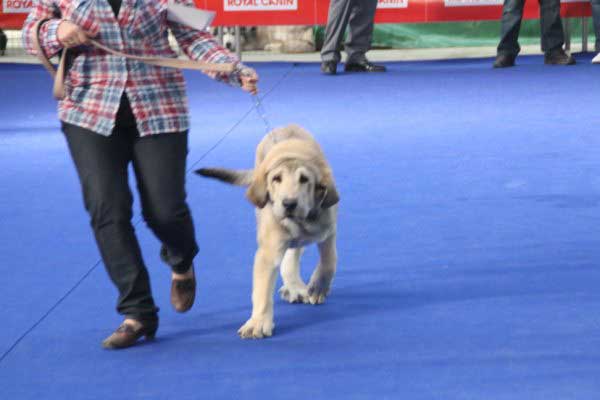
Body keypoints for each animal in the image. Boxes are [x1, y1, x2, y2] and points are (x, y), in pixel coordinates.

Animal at [196, 124, 338, 338]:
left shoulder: (328, 229)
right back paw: (293, 286)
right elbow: (262, 290)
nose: (289, 203)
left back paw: (295, 286)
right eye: (276, 179)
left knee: (294, 253)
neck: (302, 221)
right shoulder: (269, 251)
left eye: (304, 179)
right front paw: (258, 322)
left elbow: (329, 261)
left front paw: (318, 287)